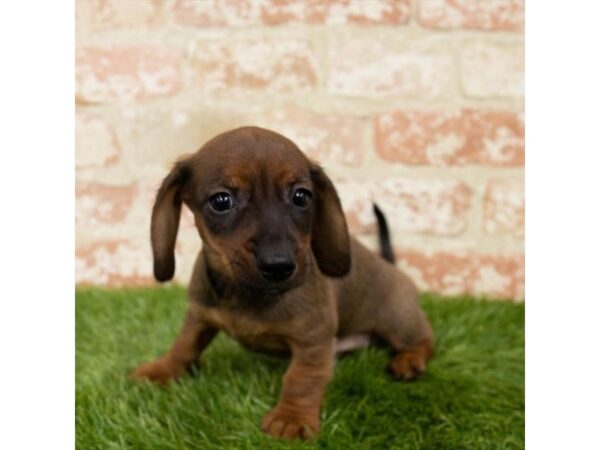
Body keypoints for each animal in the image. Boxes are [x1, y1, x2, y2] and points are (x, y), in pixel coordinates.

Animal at [131, 125, 434, 440]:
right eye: (221, 201)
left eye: (301, 196)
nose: (278, 265)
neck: (246, 294)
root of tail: (392, 266)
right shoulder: (199, 316)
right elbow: (184, 346)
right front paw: (162, 370)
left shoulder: (313, 339)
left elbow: (301, 377)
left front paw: (292, 417)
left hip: (398, 321)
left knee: (425, 340)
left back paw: (409, 360)